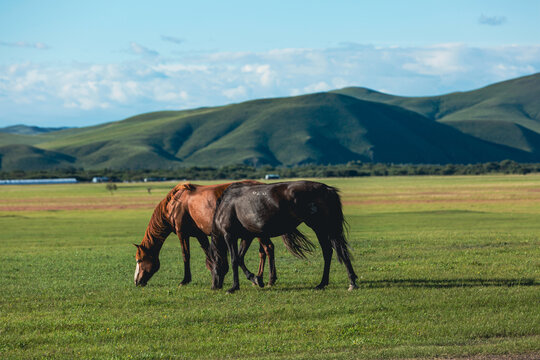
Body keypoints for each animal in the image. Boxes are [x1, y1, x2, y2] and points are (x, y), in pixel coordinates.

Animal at [133, 180, 314, 286]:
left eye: (140, 260)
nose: (137, 281)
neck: (176, 204)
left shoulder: (182, 233)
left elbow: (186, 255)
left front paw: (185, 280)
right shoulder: (200, 234)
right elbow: (209, 253)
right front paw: (216, 272)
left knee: (268, 249)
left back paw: (268, 279)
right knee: (264, 252)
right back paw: (261, 277)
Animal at [209, 181, 356, 294]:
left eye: (211, 267)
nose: (214, 286)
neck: (226, 205)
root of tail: (326, 189)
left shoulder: (230, 236)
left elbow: (234, 260)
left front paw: (234, 287)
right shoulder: (247, 237)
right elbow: (240, 258)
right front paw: (256, 279)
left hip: (321, 227)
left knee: (335, 251)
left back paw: (351, 283)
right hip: (324, 229)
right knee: (331, 251)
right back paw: (325, 283)